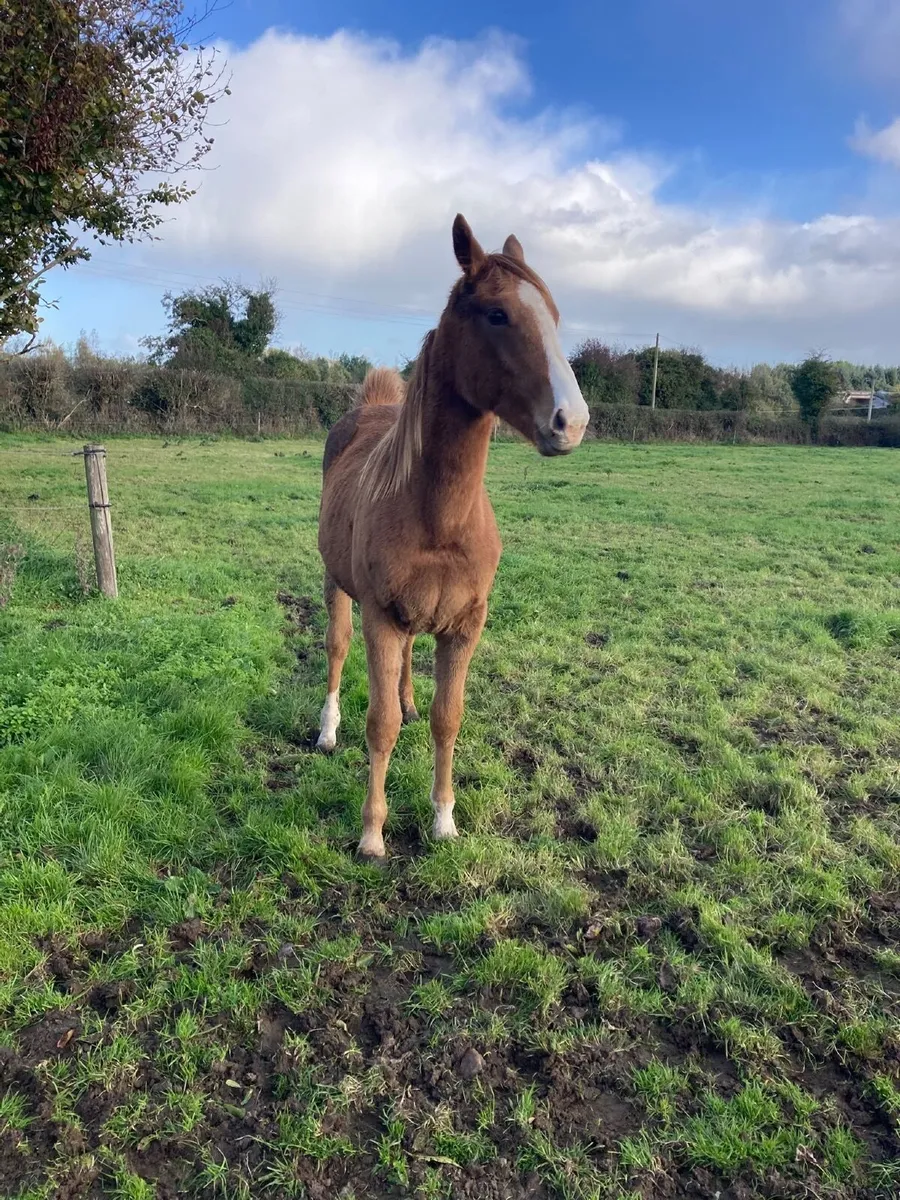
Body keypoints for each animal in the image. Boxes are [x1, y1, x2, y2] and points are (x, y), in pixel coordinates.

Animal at [316, 214, 590, 858]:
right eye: (497, 314)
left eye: (554, 314)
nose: (572, 421)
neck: (439, 517)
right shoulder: (381, 617)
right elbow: (381, 724)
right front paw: (372, 834)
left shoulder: (465, 625)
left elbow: (449, 718)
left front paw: (444, 819)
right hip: (336, 585)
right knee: (337, 649)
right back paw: (327, 731)